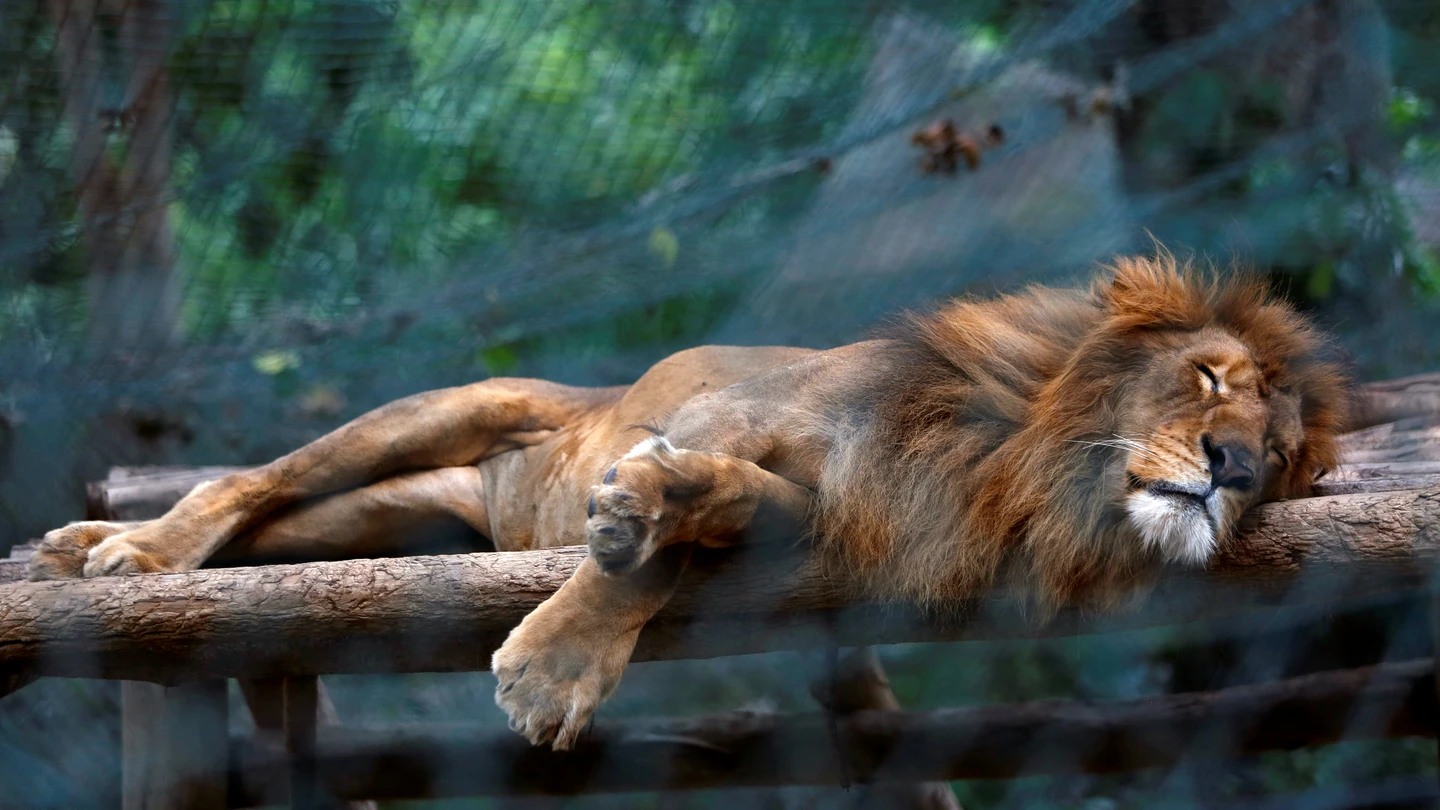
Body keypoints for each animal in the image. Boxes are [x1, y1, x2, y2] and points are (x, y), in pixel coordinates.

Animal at [28, 254, 1348, 750]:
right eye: (1209, 379)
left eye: (1282, 454)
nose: (1232, 469)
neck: (1010, 457)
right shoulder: (738, 409)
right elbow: (646, 554)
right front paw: (559, 657)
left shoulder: (826, 515)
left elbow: (704, 526)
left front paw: (644, 519)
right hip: (443, 411)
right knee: (247, 481)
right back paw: (126, 553)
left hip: (387, 518)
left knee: (274, 533)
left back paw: (104, 552)